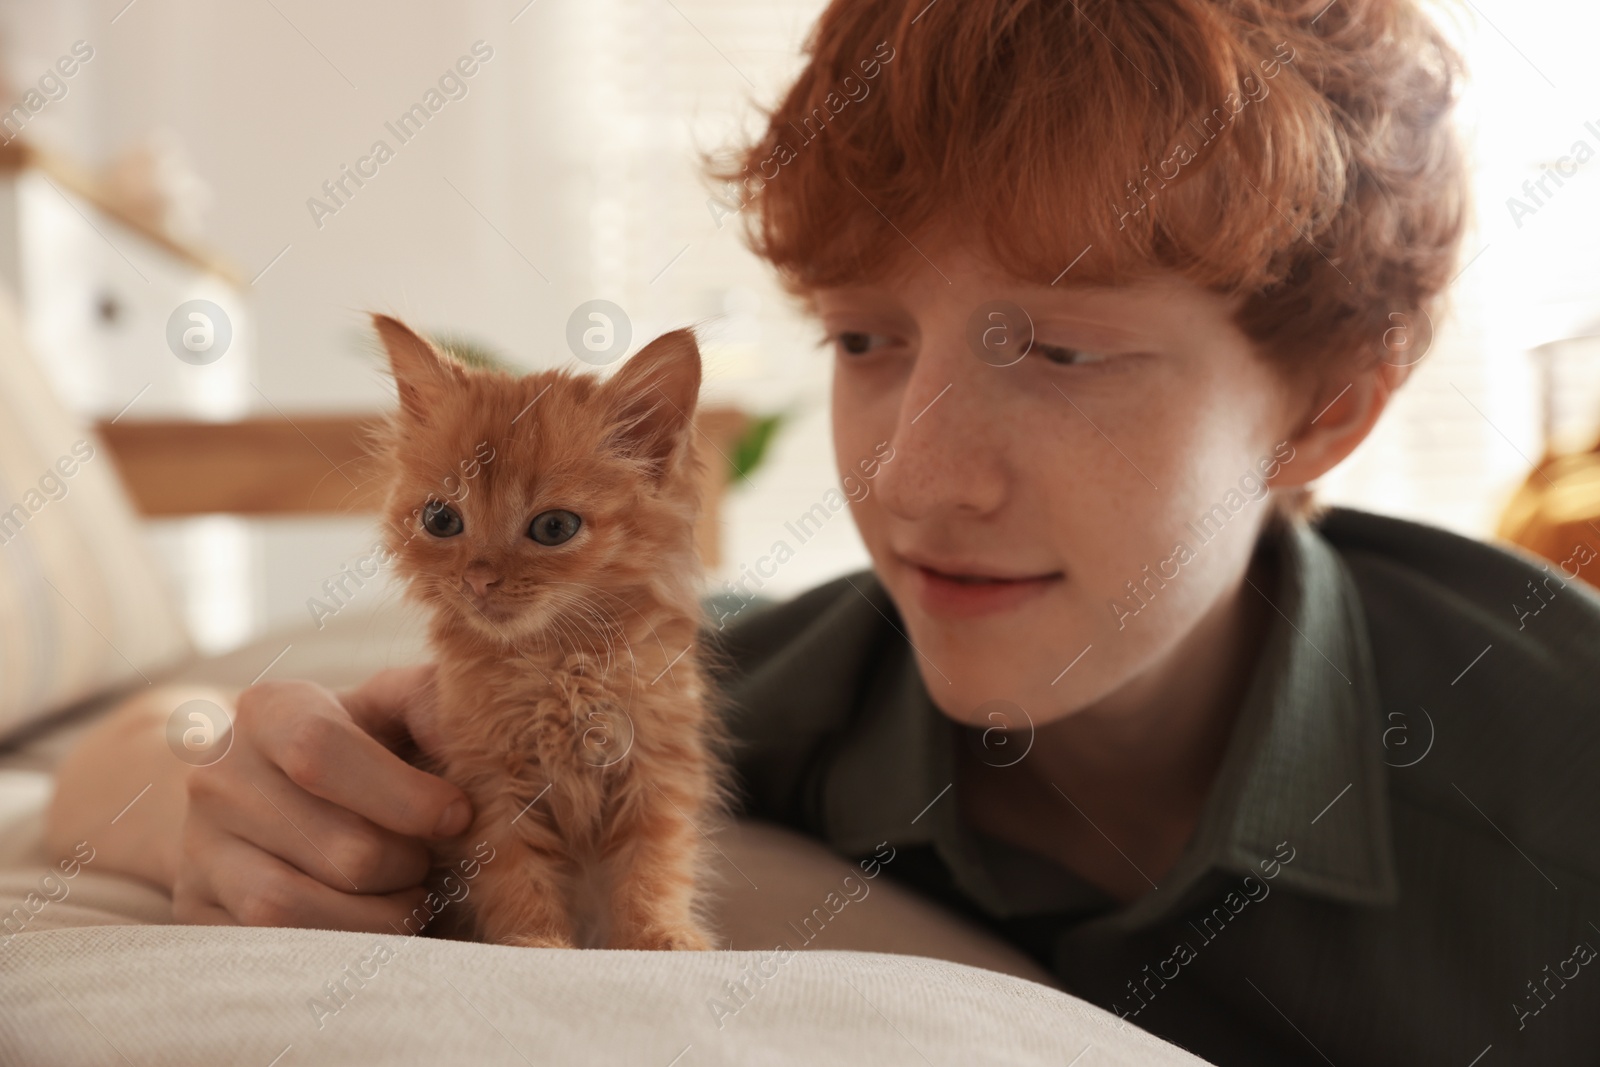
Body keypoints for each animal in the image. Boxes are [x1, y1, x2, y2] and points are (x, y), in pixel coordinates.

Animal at [371, 316, 729, 953]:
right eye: (441, 519)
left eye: (554, 527)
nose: (478, 579)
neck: (559, 664)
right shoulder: (489, 779)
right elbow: (516, 874)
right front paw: (535, 943)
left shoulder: (658, 766)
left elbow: (654, 865)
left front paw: (659, 936)